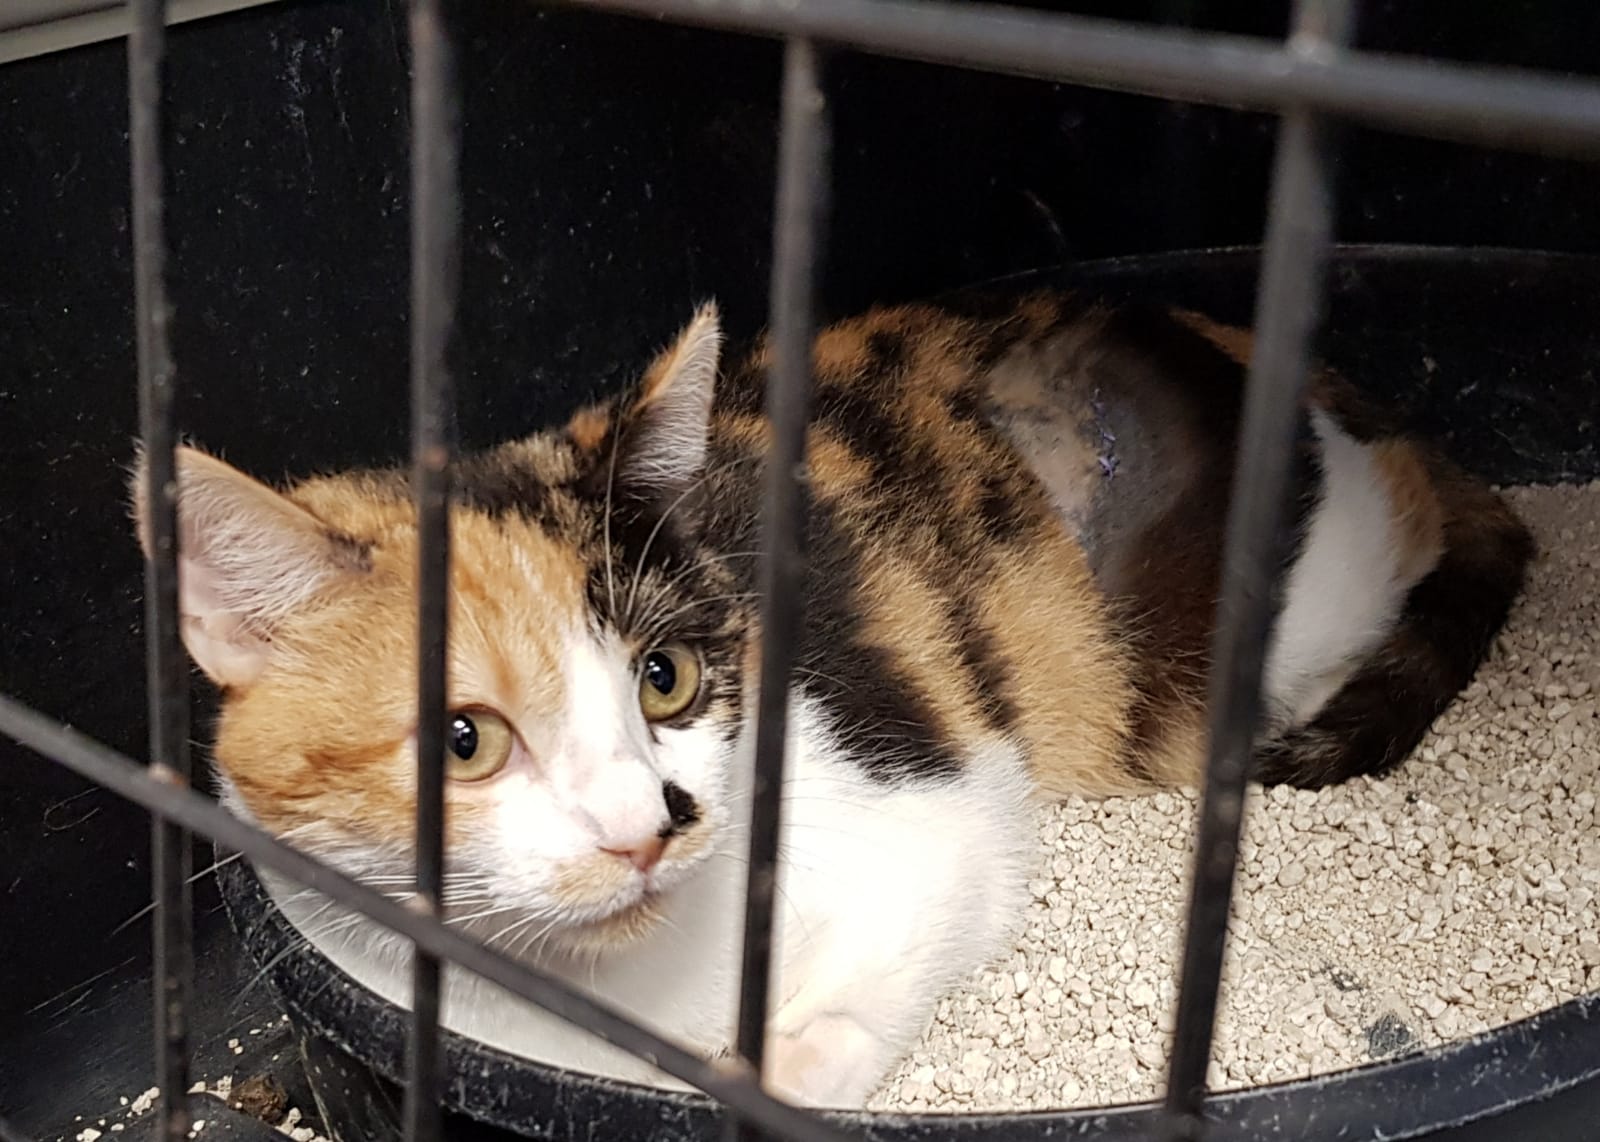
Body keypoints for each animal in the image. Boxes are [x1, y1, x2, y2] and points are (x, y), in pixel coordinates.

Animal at [130, 287, 1532, 1109]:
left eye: (667, 678)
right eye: (466, 740)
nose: (649, 824)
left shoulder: (935, 791)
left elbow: (894, 940)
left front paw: (783, 1063)